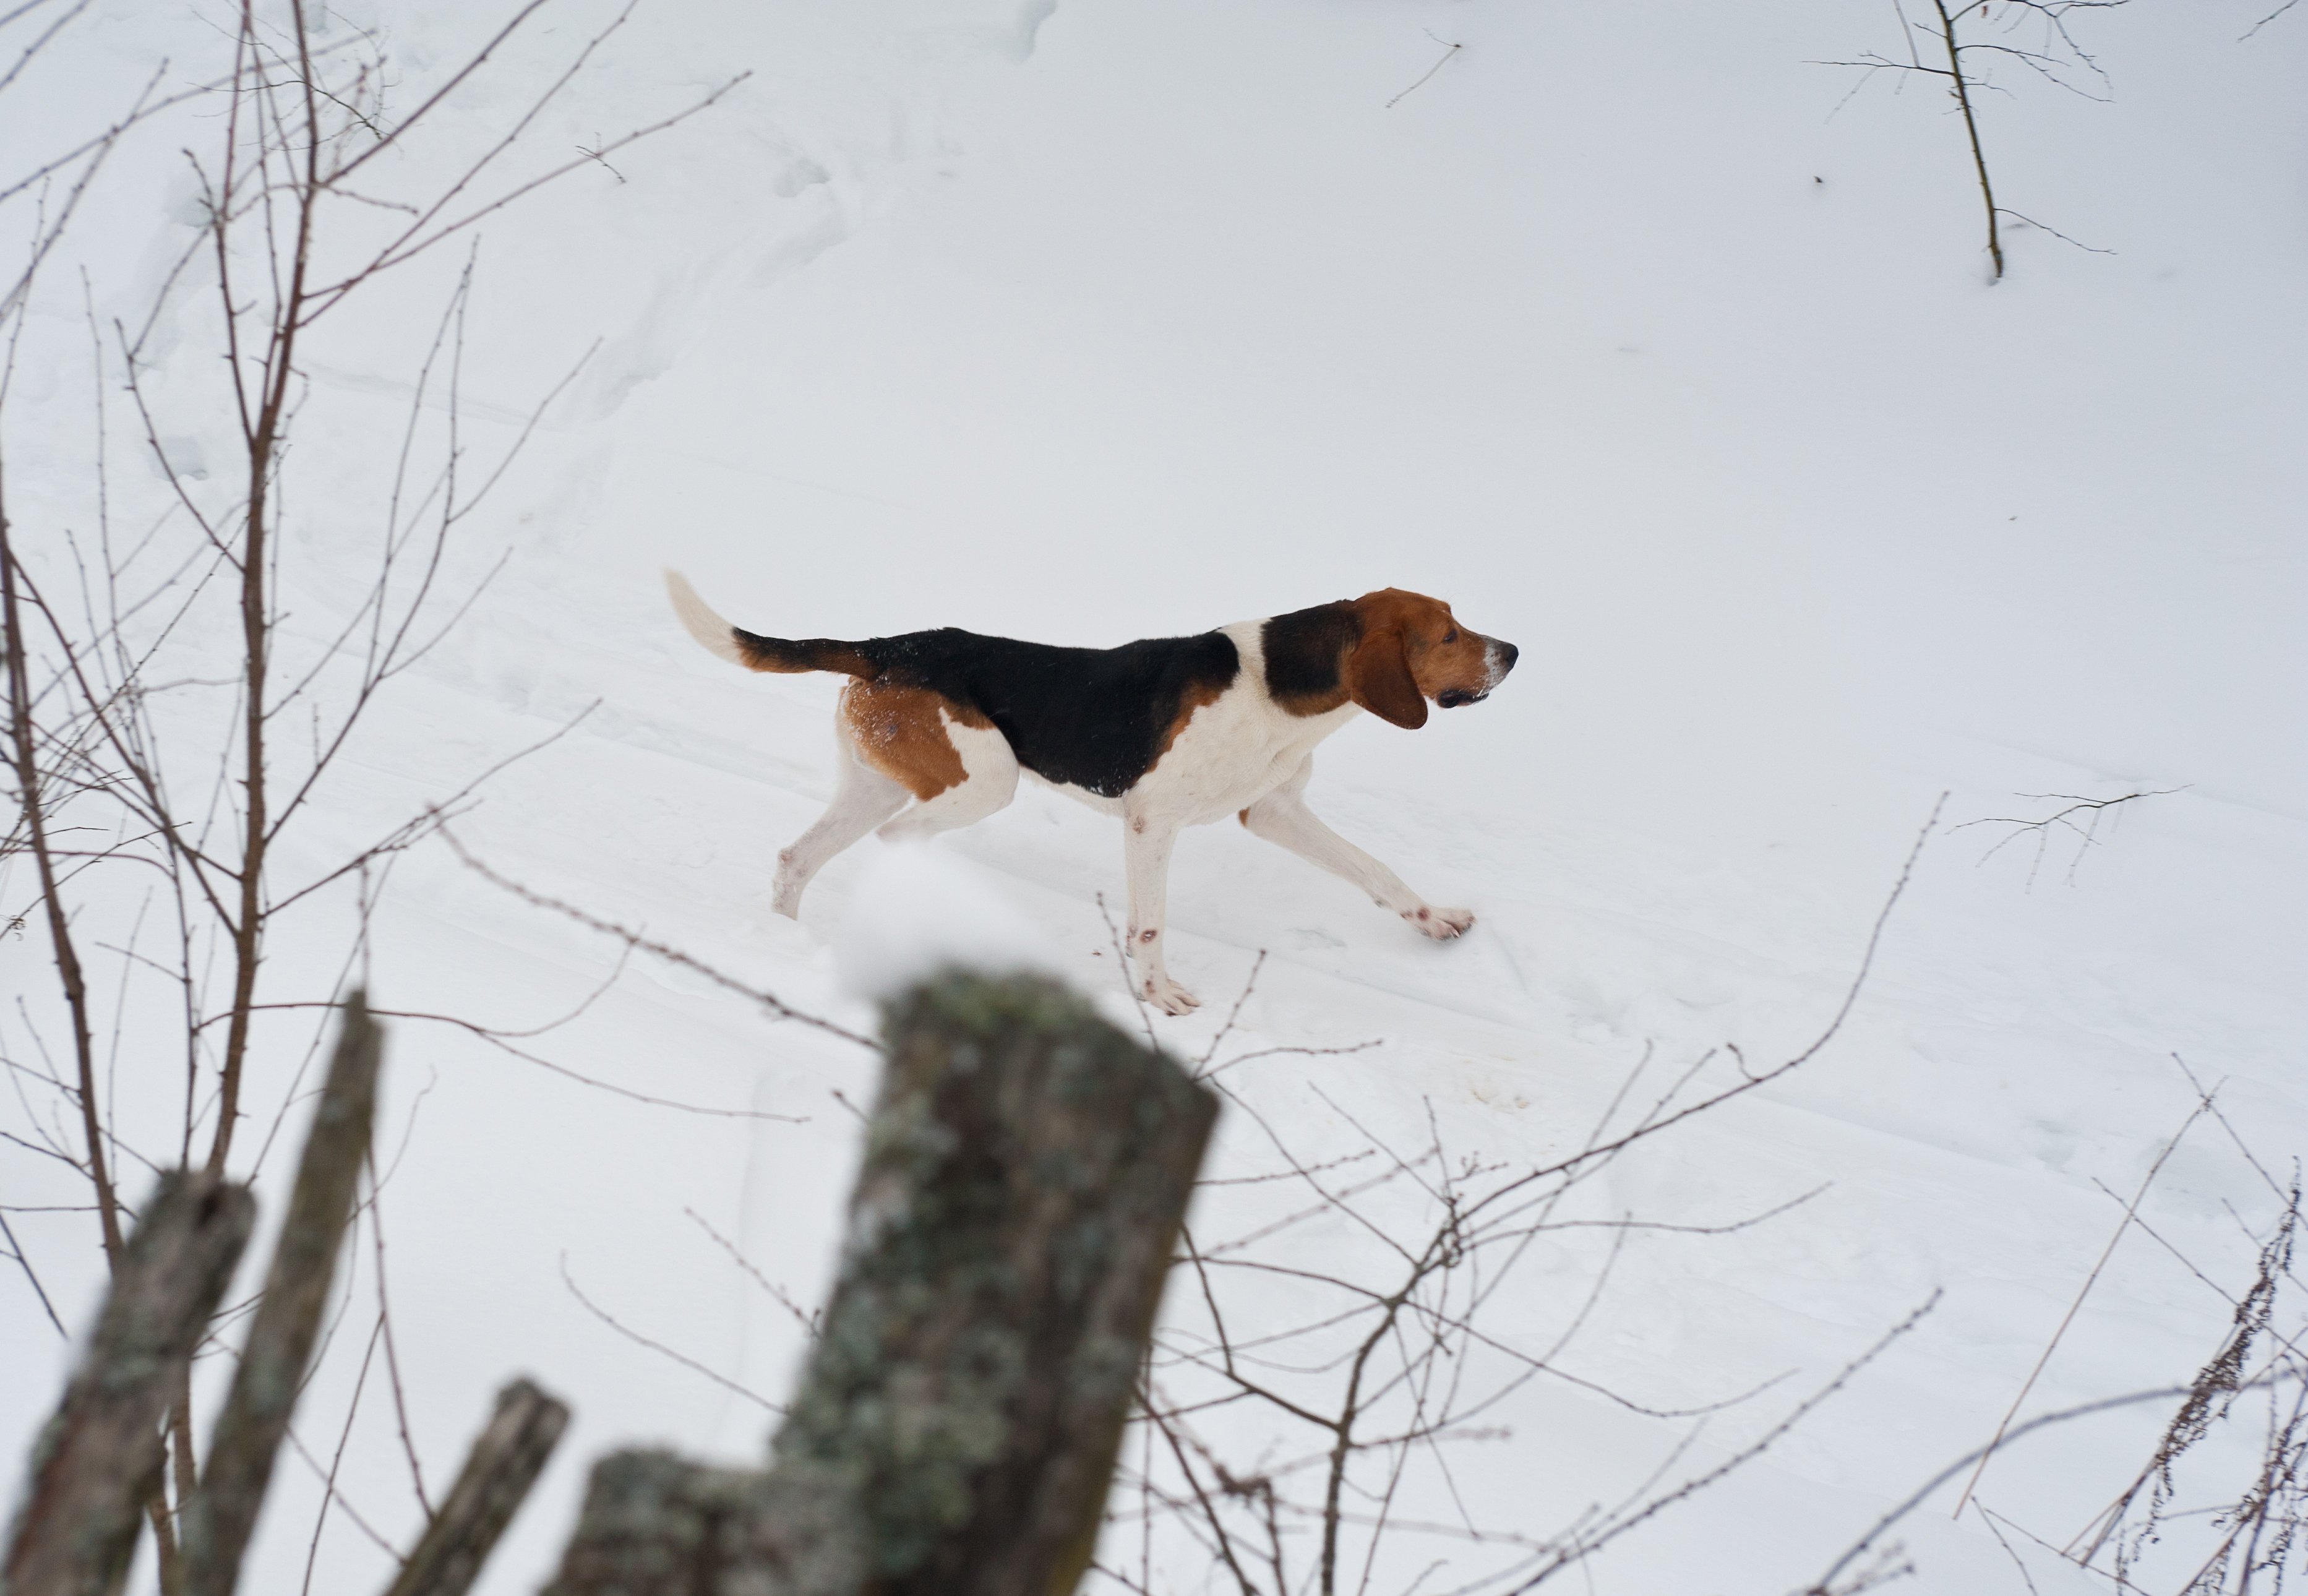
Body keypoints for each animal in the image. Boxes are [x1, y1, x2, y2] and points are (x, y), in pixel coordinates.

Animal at [664, 574, 1514, 1015]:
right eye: (1446, 636)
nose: (1511, 651)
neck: (1277, 685)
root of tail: (886, 646)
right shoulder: (1151, 823)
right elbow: (1150, 927)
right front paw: (1158, 997)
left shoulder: (1273, 810)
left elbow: (1377, 873)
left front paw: (1436, 922)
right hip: (986, 780)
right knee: (895, 843)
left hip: (873, 786)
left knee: (796, 858)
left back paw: (783, 938)